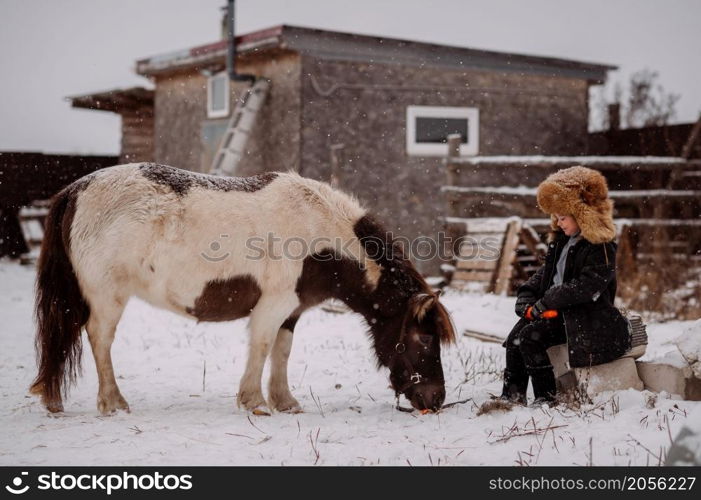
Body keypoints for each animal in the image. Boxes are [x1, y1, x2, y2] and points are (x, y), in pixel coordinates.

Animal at [28, 163, 454, 414]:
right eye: (425, 339)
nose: (436, 399)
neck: (320, 238)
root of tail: (75, 190)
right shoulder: (272, 306)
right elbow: (262, 348)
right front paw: (254, 402)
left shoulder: (292, 311)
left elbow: (282, 352)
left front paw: (285, 402)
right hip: (107, 298)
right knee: (99, 339)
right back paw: (113, 402)